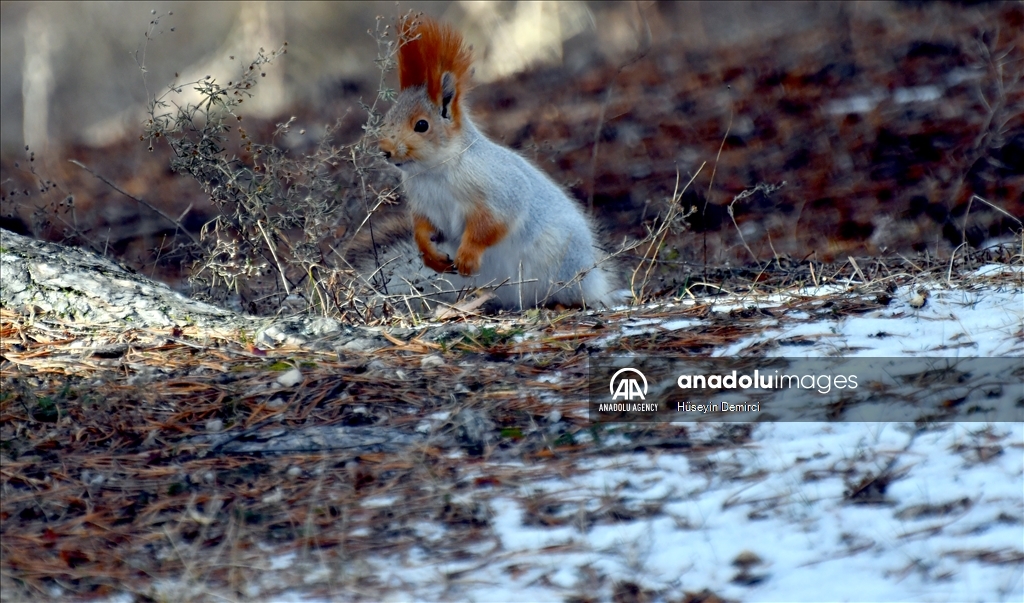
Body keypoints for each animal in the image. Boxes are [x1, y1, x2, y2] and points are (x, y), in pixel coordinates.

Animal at [378, 14, 610, 311]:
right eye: (388, 117)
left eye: (421, 125)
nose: (385, 151)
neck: (434, 170)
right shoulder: (425, 206)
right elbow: (423, 229)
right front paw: (430, 255)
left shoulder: (500, 189)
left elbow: (492, 224)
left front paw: (468, 256)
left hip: (560, 263)